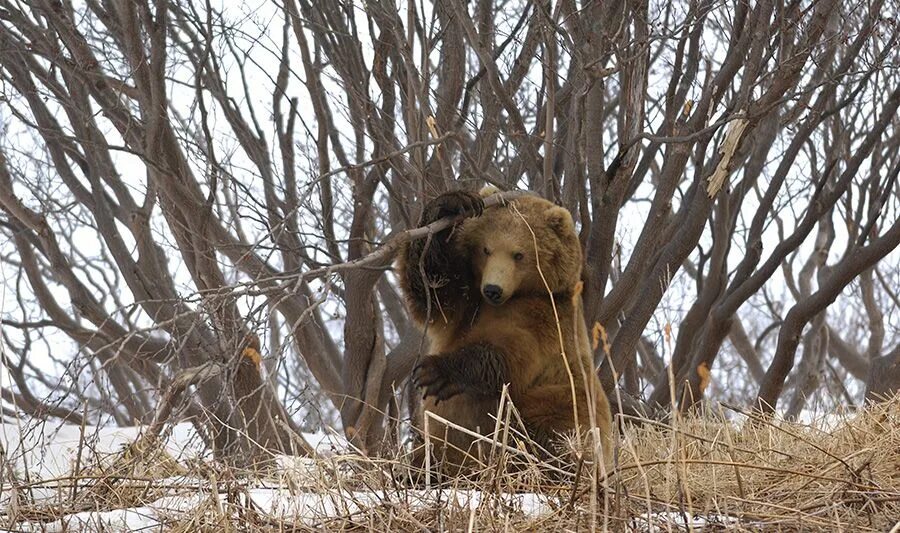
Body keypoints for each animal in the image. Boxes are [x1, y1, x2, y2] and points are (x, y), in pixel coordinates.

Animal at [398, 187, 616, 474]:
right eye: (486, 249)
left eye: (519, 254)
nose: (493, 289)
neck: (517, 295)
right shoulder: (467, 300)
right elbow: (433, 288)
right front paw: (453, 203)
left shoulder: (545, 318)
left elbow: (510, 353)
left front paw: (434, 372)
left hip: (561, 407)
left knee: (551, 435)